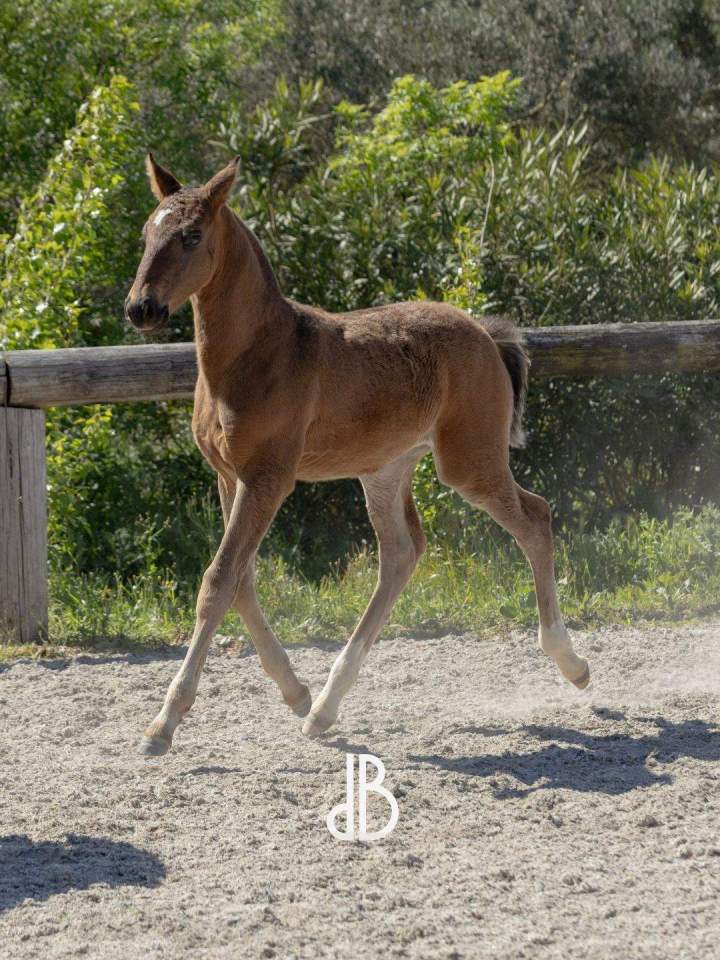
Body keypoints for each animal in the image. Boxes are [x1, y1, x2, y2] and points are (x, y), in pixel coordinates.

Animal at [125, 154, 590, 757]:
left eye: (191, 236)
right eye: (146, 232)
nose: (141, 308)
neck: (256, 355)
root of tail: (487, 335)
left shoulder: (267, 478)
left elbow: (219, 582)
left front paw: (163, 724)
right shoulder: (228, 477)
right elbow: (243, 582)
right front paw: (295, 691)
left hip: (468, 463)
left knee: (535, 518)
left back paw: (572, 663)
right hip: (385, 471)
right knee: (401, 553)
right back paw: (323, 707)